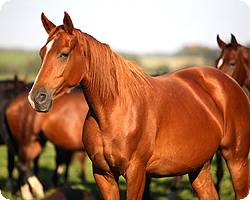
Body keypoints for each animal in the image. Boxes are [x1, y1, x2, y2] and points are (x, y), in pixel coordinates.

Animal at [28, 12, 249, 200]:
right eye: (41, 53)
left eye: (64, 54)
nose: (36, 98)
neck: (113, 111)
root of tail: (229, 84)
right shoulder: (103, 174)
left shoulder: (136, 173)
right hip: (199, 167)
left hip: (236, 159)